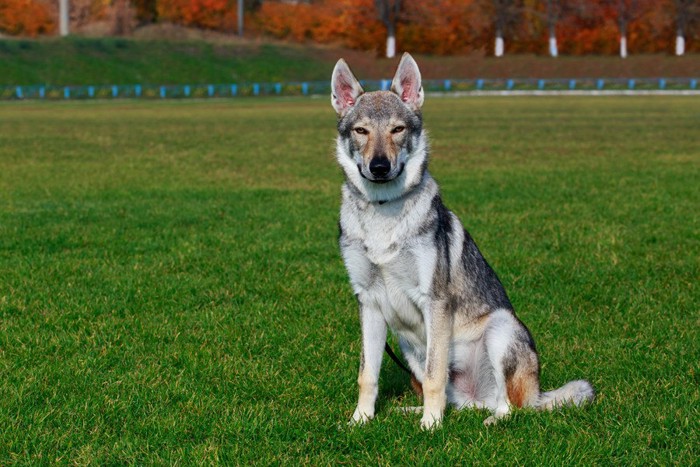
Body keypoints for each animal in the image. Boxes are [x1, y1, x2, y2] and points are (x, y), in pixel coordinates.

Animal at [330, 53, 592, 430]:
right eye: (361, 131)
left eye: (397, 130)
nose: (379, 167)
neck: (383, 210)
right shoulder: (368, 302)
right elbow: (368, 375)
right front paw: (360, 422)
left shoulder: (435, 302)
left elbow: (434, 375)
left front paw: (430, 427)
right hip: (408, 345)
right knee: (456, 400)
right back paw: (414, 411)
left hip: (501, 327)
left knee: (510, 406)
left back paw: (492, 421)